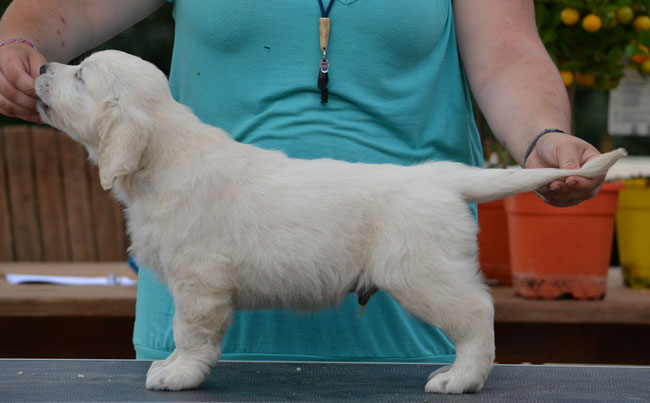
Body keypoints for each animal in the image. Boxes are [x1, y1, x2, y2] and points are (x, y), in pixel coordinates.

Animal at [35, 50, 624, 394]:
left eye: (81, 75)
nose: (39, 68)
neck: (165, 155)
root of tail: (443, 178)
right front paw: (173, 366)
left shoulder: (199, 283)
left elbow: (190, 332)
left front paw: (180, 374)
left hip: (422, 273)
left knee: (478, 313)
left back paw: (460, 378)